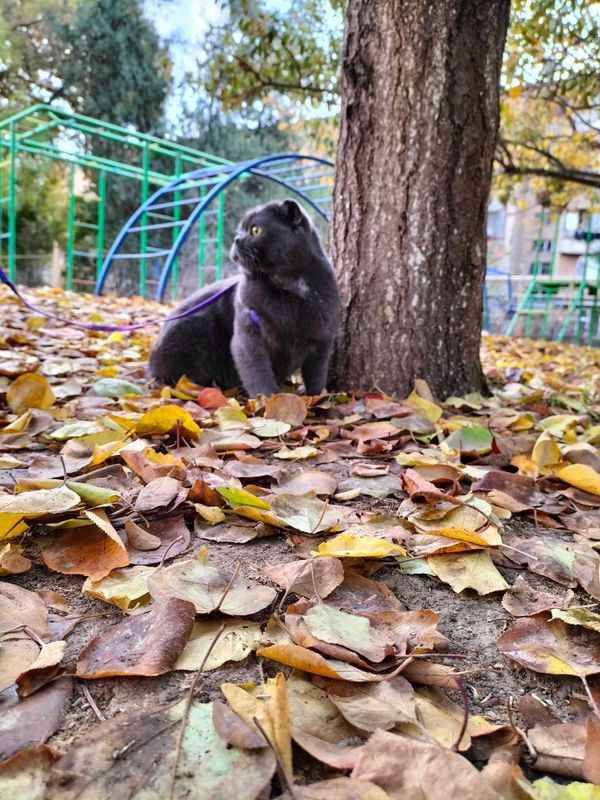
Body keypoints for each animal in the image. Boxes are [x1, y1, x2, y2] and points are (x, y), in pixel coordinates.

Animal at [148, 198, 340, 396]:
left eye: (255, 230)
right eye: (239, 231)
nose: (236, 239)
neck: (287, 287)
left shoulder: (323, 337)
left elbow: (317, 375)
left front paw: (317, 397)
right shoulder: (248, 331)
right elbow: (257, 370)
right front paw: (268, 398)